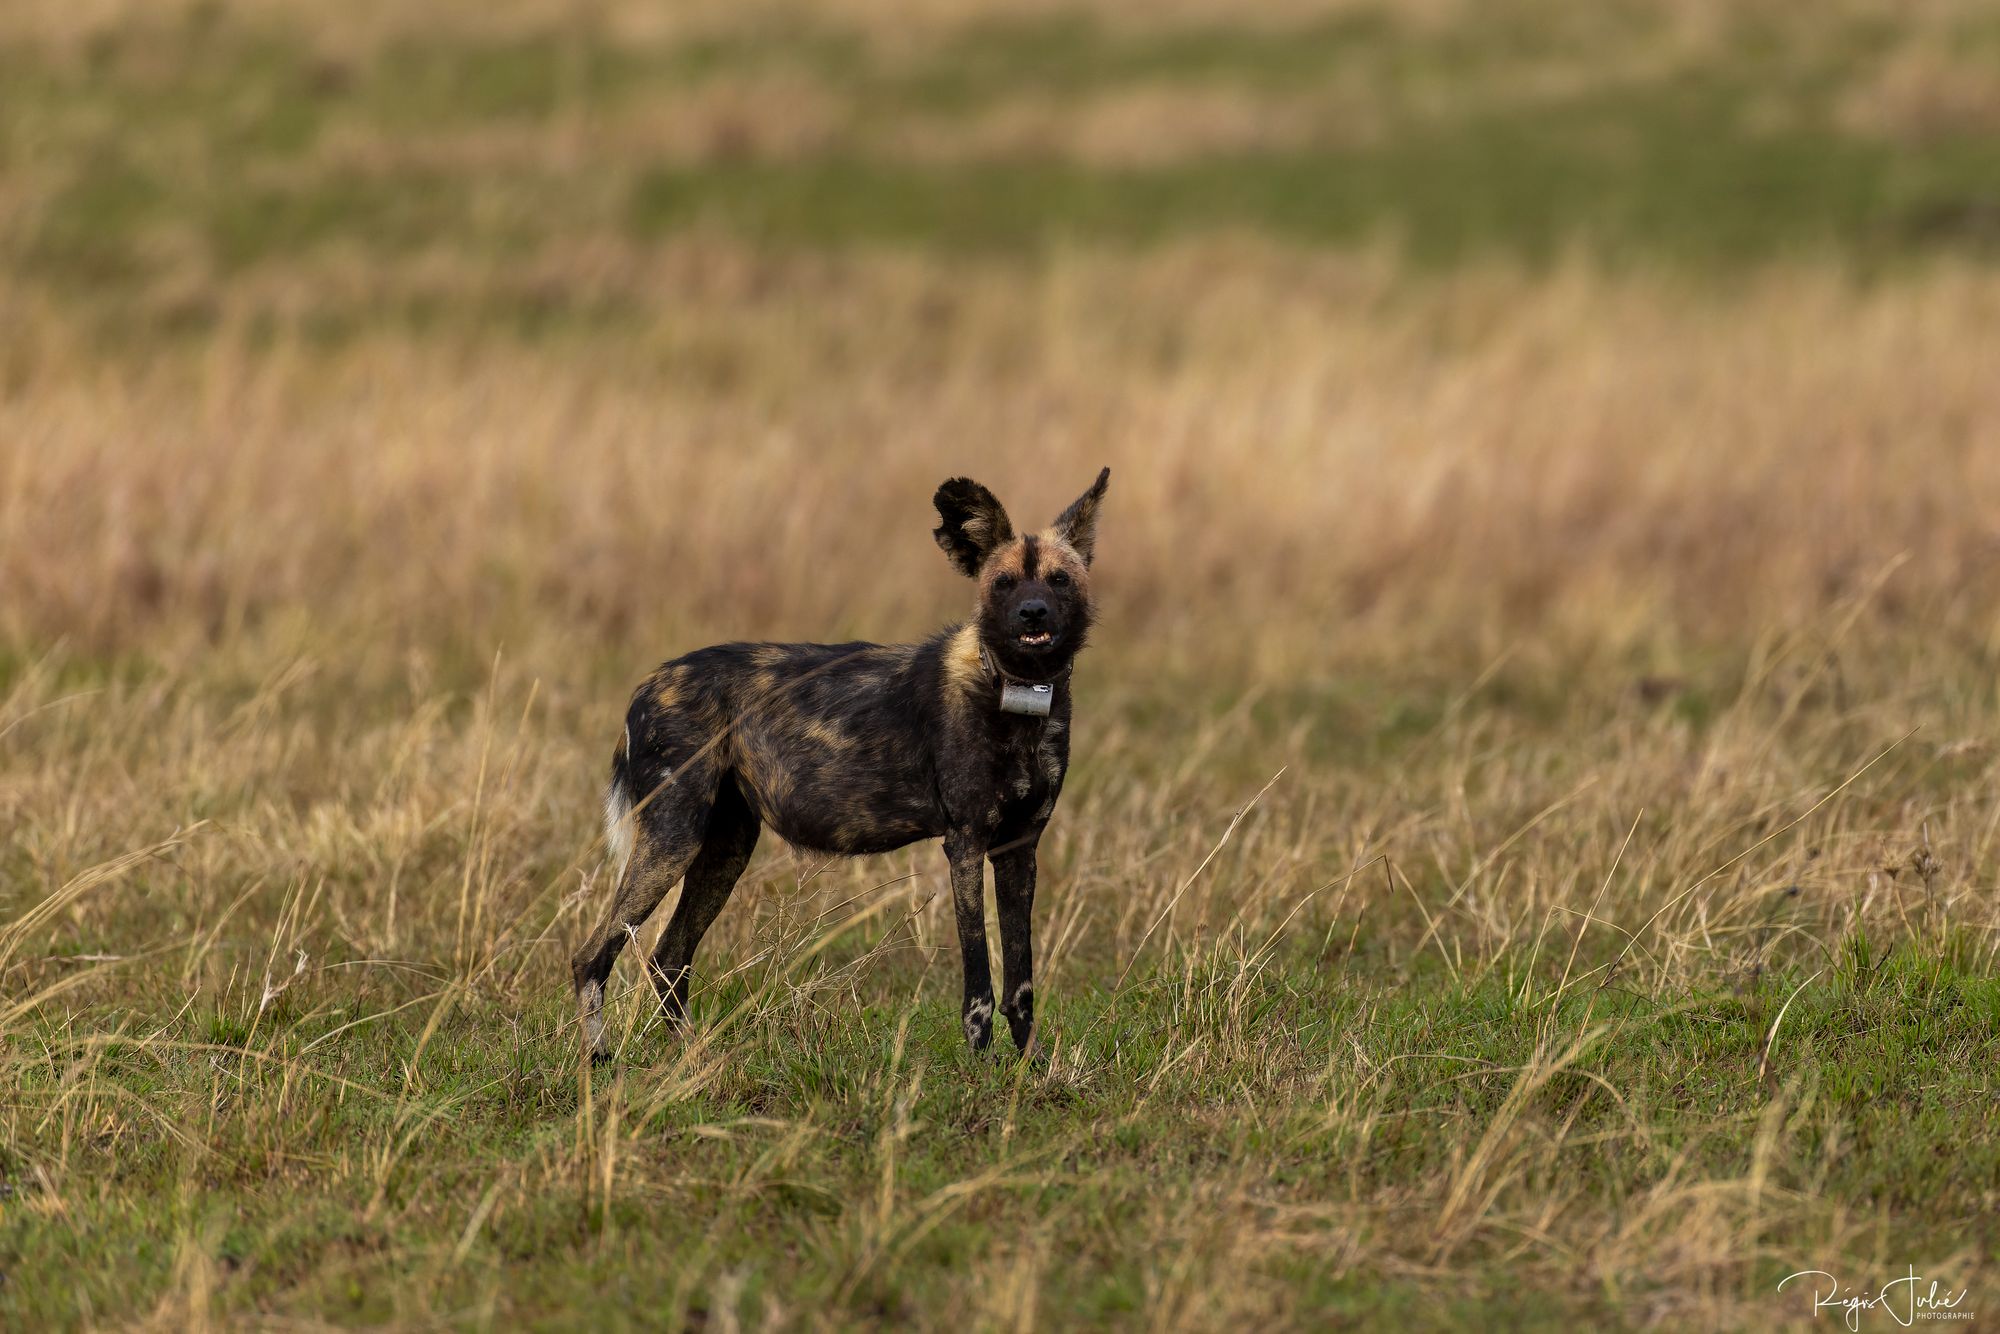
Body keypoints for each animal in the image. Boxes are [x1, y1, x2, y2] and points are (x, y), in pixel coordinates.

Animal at [572, 470, 1112, 1064]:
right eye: (1004, 583)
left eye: (1059, 581)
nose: (1032, 612)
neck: (1016, 693)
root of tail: (648, 685)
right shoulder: (967, 845)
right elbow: (980, 984)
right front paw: (981, 1069)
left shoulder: (1019, 848)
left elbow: (1021, 980)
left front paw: (1031, 1068)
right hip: (673, 842)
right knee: (591, 956)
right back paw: (600, 1063)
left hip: (724, 849)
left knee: (667, 961)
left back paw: (697, 1060)